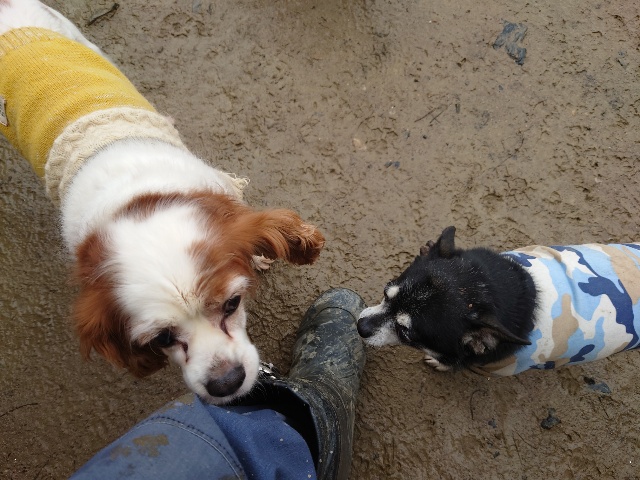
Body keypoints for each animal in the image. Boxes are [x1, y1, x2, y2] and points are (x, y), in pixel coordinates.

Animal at [357, 226, 640, 376]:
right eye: (385, 293)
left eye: (405, 332)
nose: (360, 326)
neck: (488, 287)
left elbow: (453, 361)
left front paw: (440, 362)